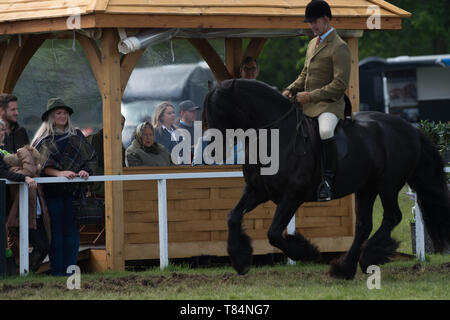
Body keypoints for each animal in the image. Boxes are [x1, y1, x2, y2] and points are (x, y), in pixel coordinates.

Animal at [204, 79, 450, 278]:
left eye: (219, 110)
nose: (211, 151)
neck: (275, 138)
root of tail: (410, 128)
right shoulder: (257, 191)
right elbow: (232, 217)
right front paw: (241, 260)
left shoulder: (292, 195)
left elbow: (273, 233)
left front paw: (307, 252)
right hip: (366, 188)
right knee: (364, 225)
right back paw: (345, 268)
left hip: (388, 185)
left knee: (392, 217)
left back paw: (369, 257)